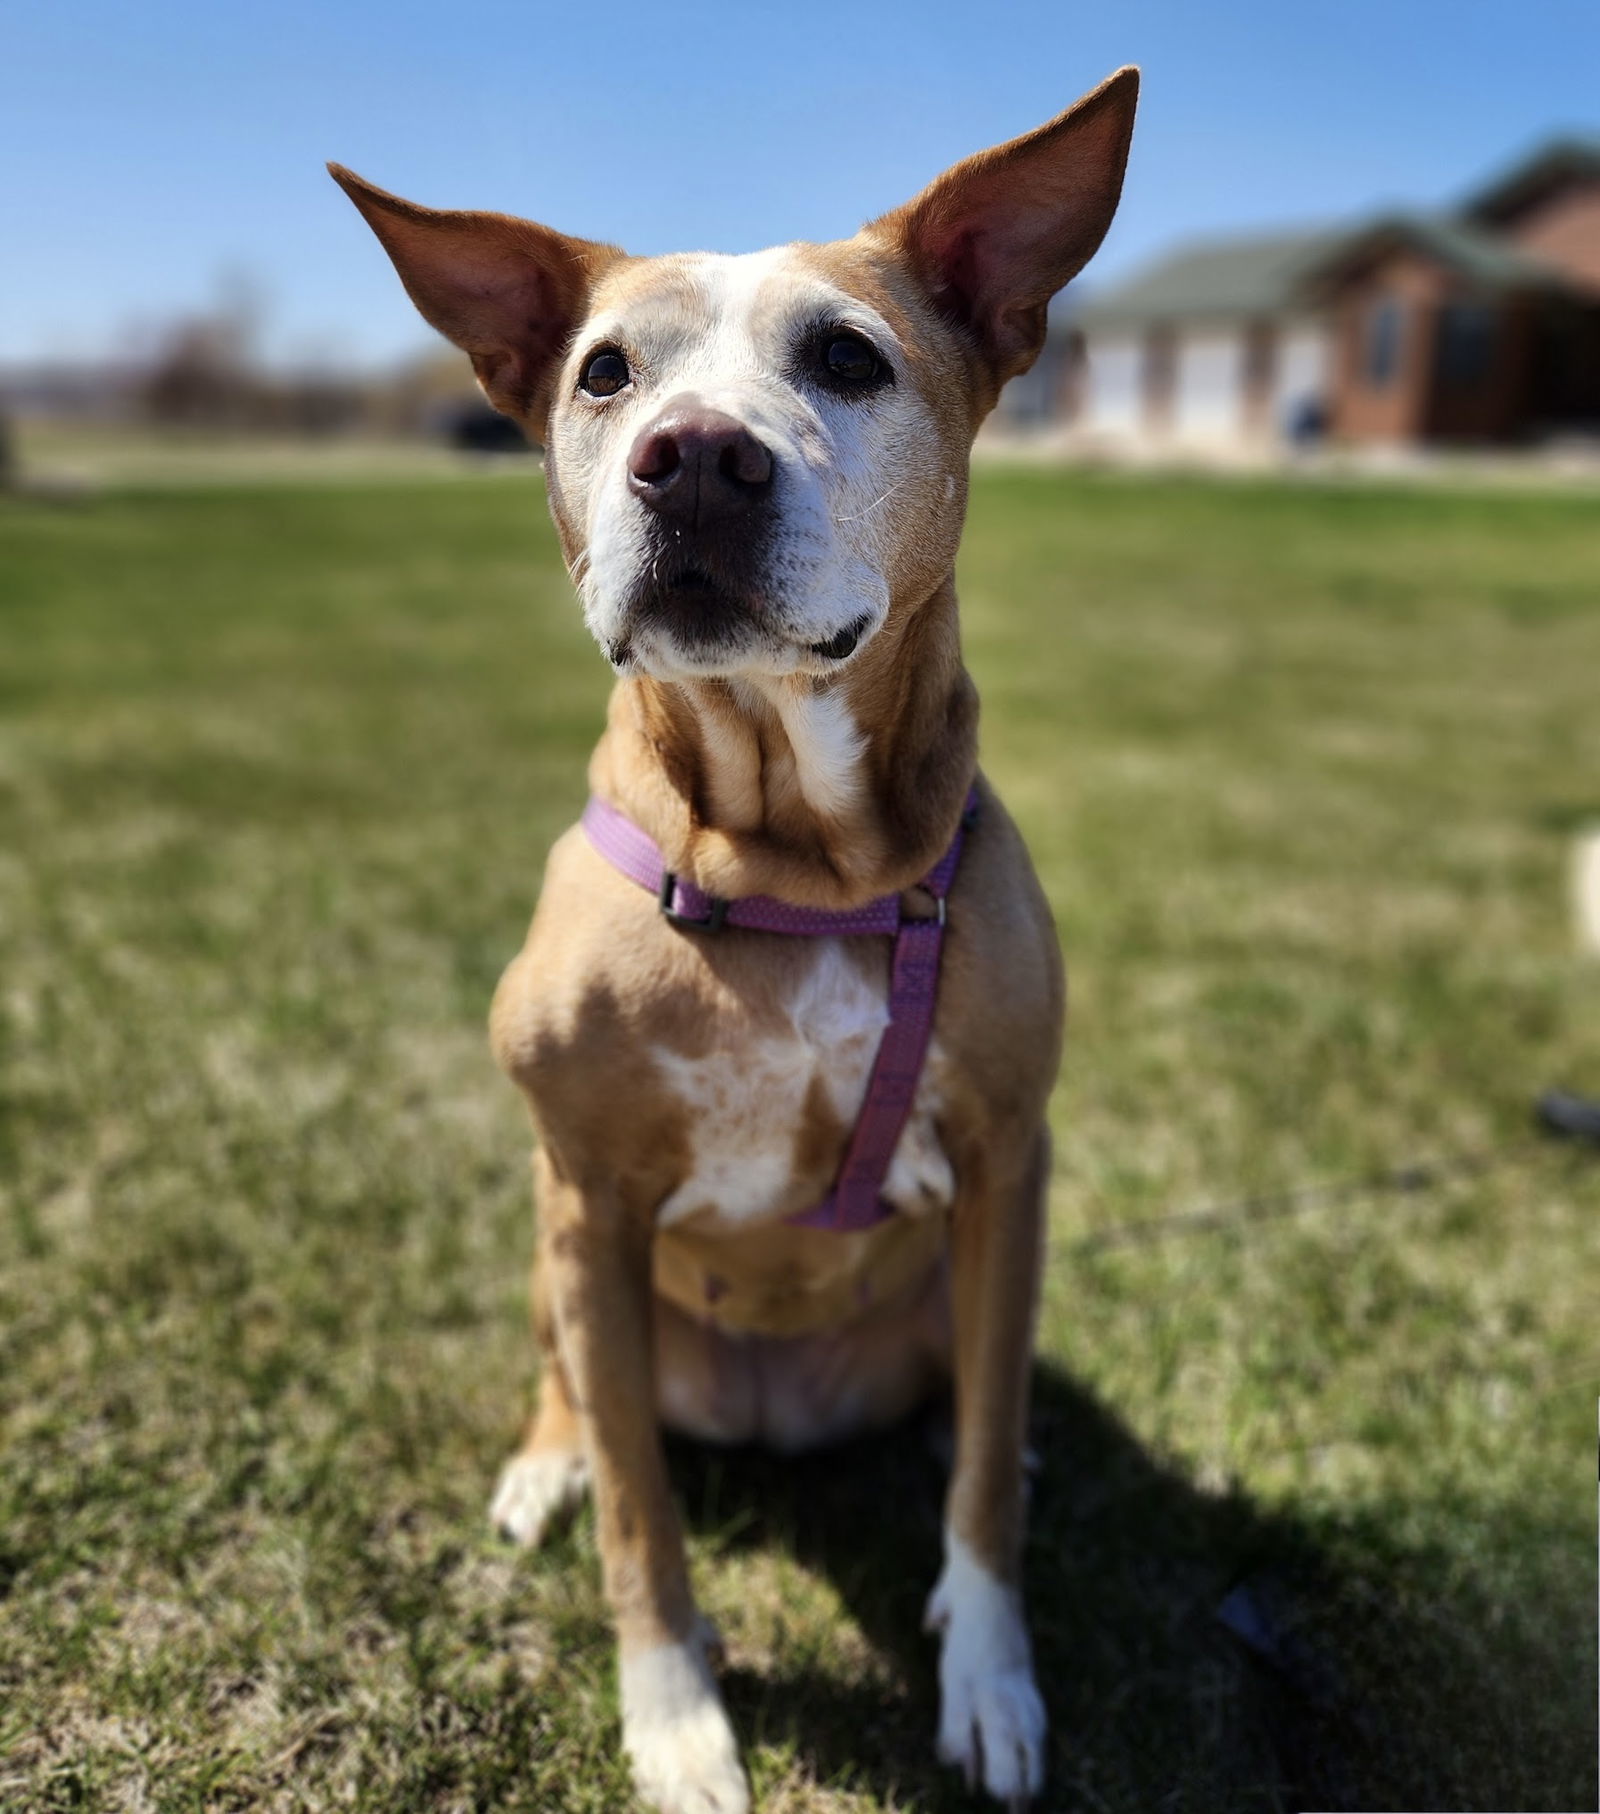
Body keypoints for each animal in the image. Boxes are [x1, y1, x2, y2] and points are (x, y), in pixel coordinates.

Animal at [330, 63, 1131, 1806]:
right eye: (604, 374)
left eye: (848, 356)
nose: (692, 457)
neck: (795, 866)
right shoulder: (591, 1197)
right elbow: (644, 1513)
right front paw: (676, 1715)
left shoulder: (1007, 1159)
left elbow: (983, 1486)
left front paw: (990, 1673)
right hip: (561, 1256)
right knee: (576, 1386)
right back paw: (545, 1464)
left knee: (976, 1400)